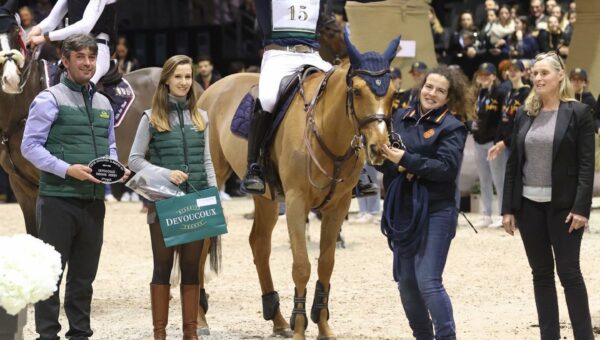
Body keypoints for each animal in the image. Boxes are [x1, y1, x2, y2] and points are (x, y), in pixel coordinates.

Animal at [199, 35, 400, 340]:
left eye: (393, 95)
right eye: (356, 91)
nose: (378, 147)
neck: (327, 132)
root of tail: (211, 88)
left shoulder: (337, 206)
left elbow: (326, 264)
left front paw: (322, 325)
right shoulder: (296, 202)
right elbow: (302, 266)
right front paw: (300, 326)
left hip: (267, 198)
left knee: (259, 243)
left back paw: (278, 319)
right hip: (213, 181)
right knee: (200, 243)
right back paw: (200, 319)